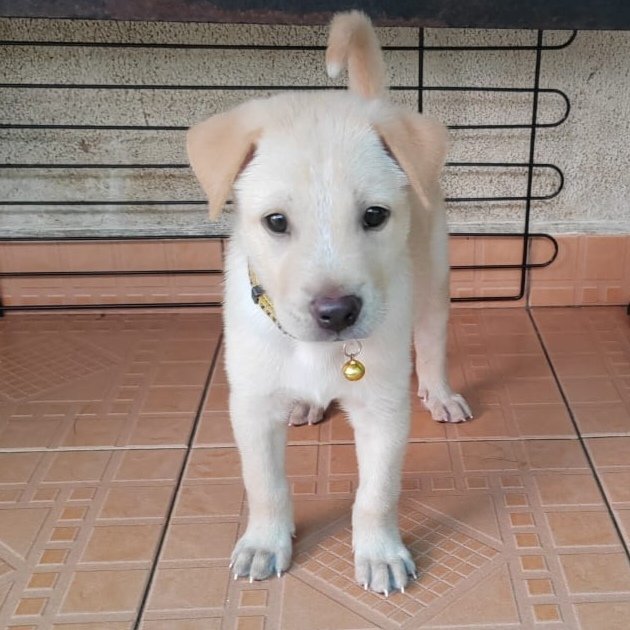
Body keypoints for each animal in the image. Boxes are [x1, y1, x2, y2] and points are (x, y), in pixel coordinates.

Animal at [185, 9, 472, 596]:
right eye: (275, 222)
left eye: (375, 216)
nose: (337, 313)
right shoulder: (251, 405)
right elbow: (266, 485)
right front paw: (264, 543)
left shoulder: (384, 411)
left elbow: (376, 495)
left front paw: (380, 553)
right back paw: (308, 404)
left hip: (433, 278)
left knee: (432, 344)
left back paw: (440, 393)